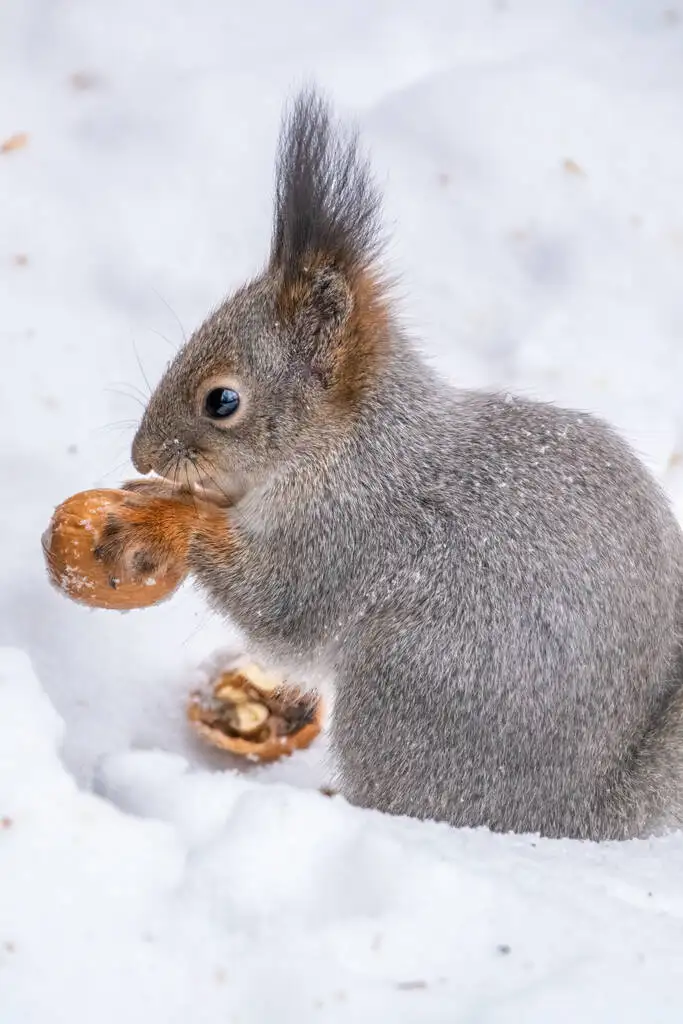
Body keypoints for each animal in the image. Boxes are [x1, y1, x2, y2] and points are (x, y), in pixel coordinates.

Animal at [94, 88, 683, 839]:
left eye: (221, 400)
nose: (141, 453)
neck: (348, 446)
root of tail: (576, 813)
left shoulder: (348, 535)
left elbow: (279, 605)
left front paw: (170, 516)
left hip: (404, 681)